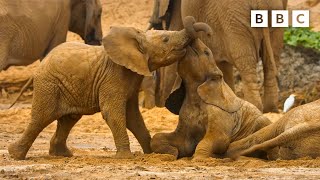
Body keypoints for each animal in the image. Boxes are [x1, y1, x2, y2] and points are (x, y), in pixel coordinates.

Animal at [7, 16, 212, 160]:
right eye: (165, 39)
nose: (208, 35)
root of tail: (43, 62)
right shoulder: (114, 76)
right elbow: (113, 112)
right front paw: (126, 158)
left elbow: (133, 116)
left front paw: (153, 153)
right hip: (48, 84)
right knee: (42, 118)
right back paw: (15, 155)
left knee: (68, 119)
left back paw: (63, 155)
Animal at [148, 0, 288, 112]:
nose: (209, 33)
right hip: (271, 20)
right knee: (270, 61)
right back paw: (271, 109)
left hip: (233, 21)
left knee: (246, 64)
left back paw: (257, 107)